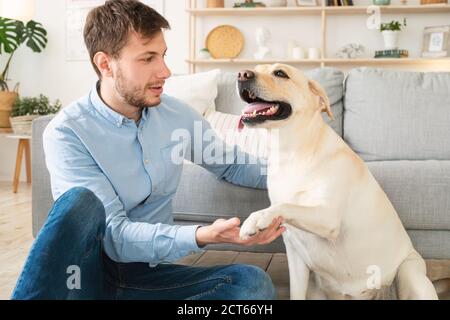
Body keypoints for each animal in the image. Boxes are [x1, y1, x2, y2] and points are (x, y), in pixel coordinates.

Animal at [237, 63, 438, 300]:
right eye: (256, 68)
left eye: (280, 73)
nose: (242, 74)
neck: (292, 152)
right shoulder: (295, 255)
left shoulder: (328, 216)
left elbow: (286, 205)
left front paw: (256, 218)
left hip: (411, 274)